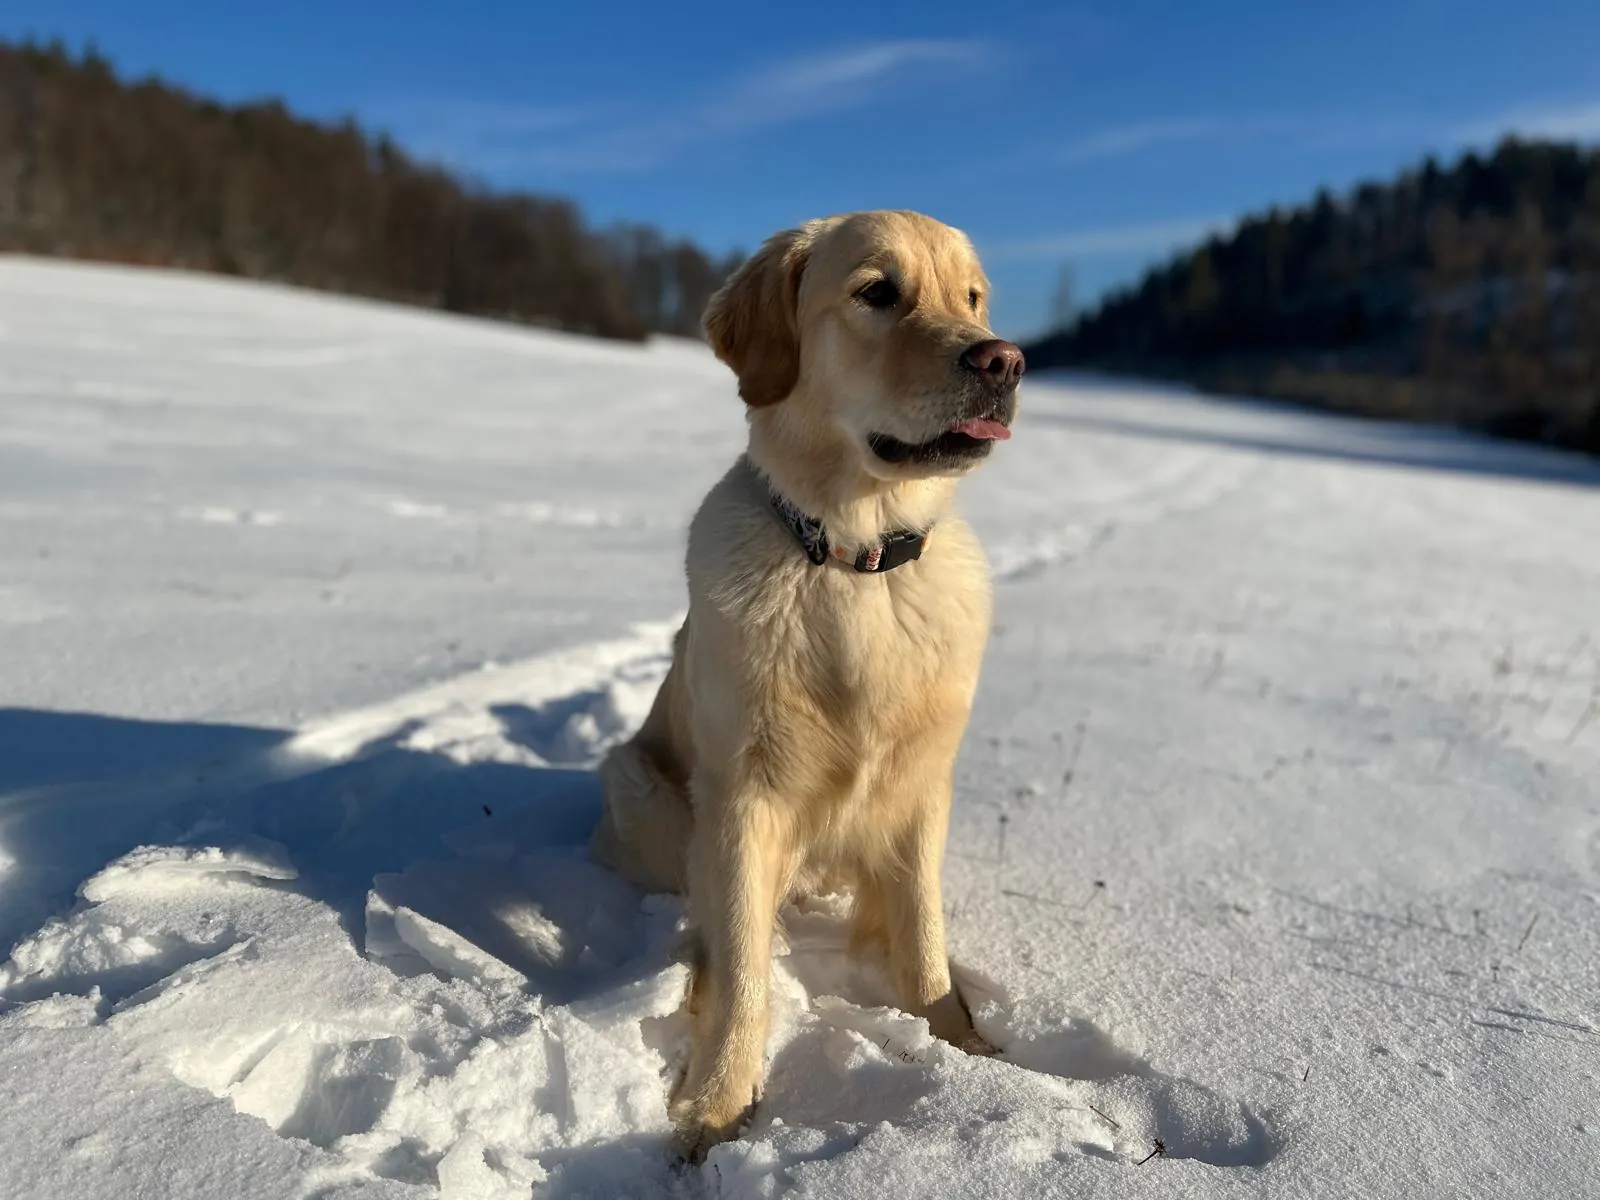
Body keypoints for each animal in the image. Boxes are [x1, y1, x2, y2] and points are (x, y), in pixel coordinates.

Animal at [590, 209, 1023, 1158]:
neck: (857, 562)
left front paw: (962, 1047)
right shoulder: (744, 799)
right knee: (707, 920)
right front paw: (717, 1106)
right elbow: (747, 965)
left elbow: (924, 938)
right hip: (641, 785)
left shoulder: (921, 788)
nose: (1003, 361)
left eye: (972, 298)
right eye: (877, 293)